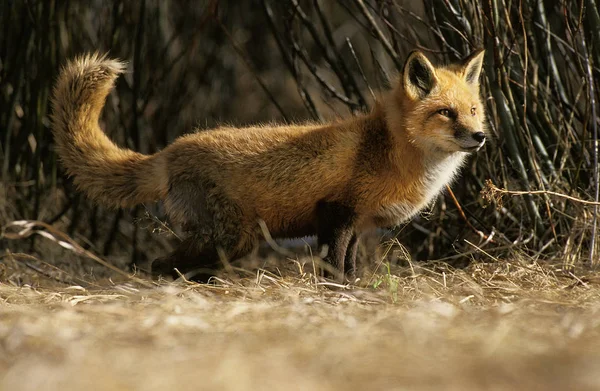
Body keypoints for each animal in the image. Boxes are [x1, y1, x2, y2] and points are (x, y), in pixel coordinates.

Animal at [49, 49, 486, 282]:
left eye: (473, 111)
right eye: (446, 113)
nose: (479, 137)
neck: (390, 150)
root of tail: (171, 149)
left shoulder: (357, 224)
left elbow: (350, 265)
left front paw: (357, 290)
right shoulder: (336, 213)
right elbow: (334, 267)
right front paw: (339, 296)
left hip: (226, 244)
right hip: (230, 238)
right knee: (161, 264)